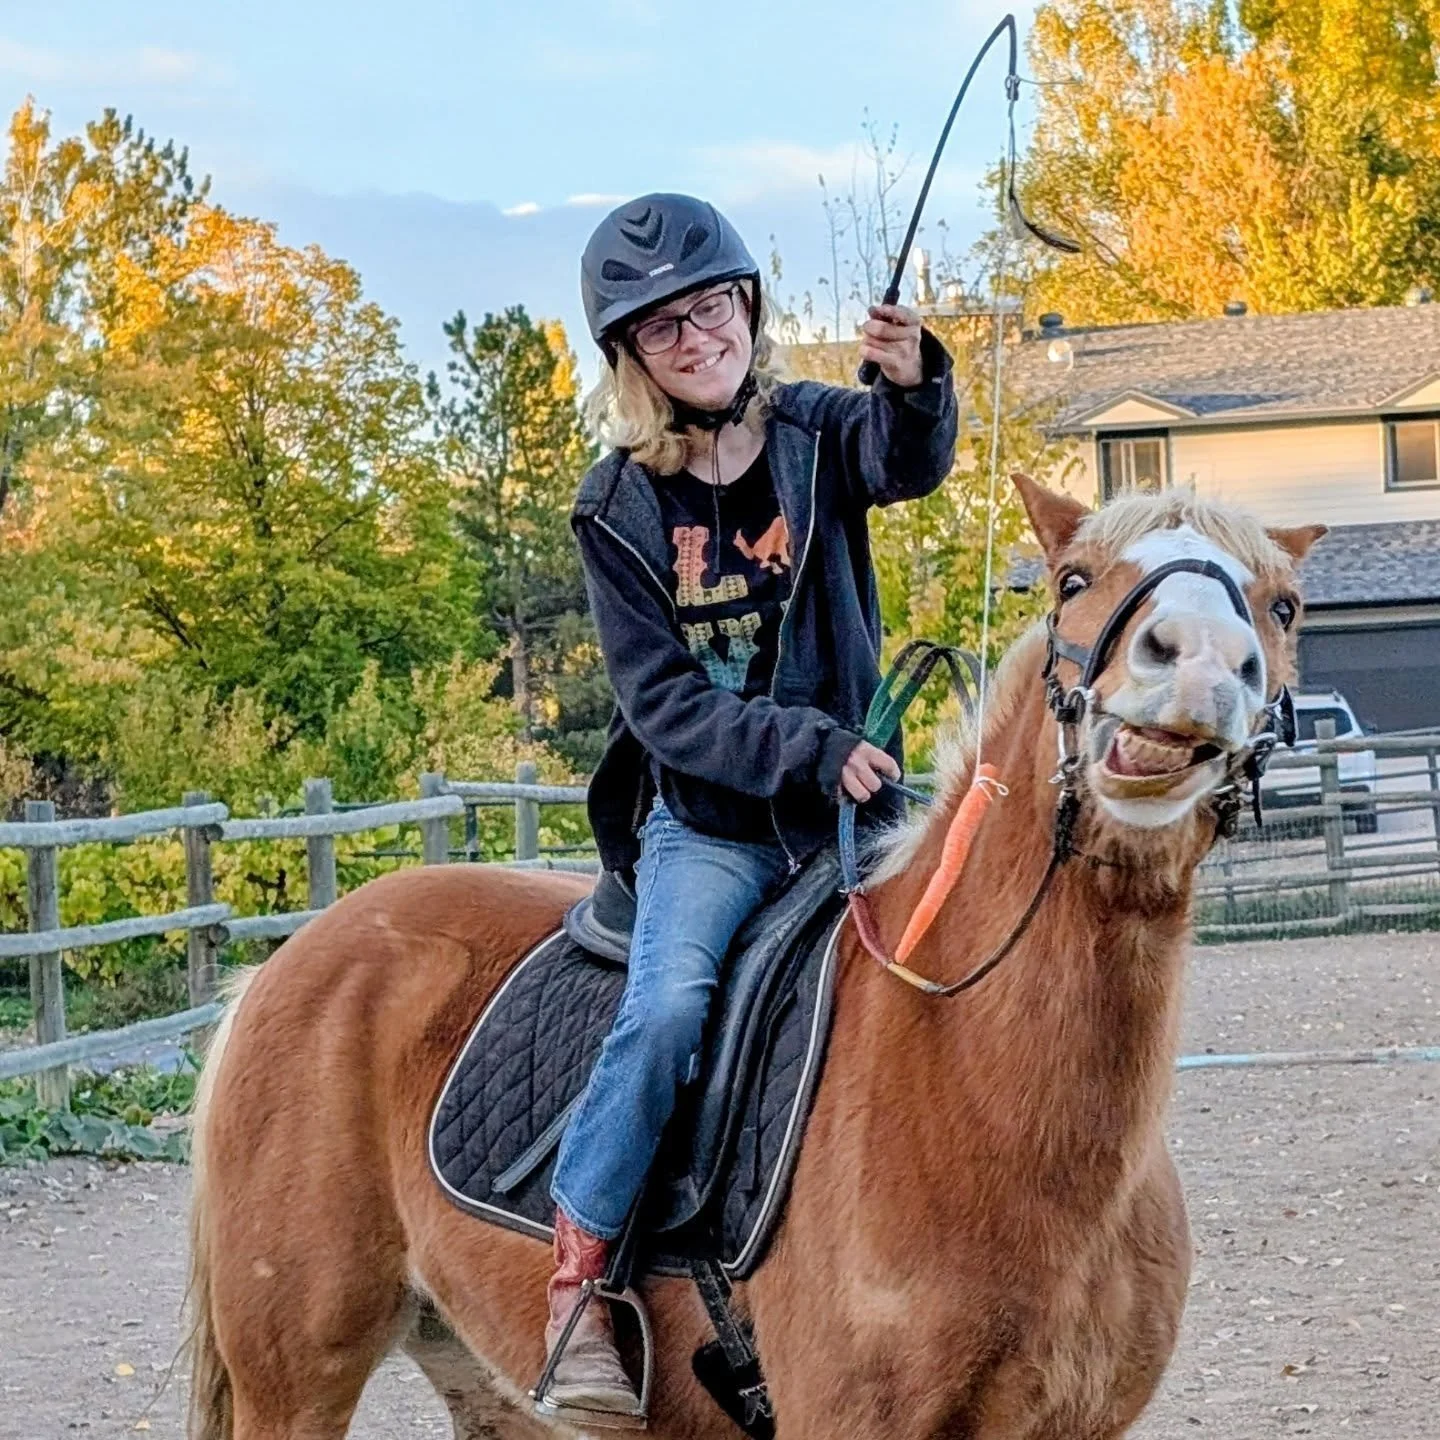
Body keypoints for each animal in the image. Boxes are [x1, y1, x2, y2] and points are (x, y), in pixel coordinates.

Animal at [184, 477, 1324, 1440]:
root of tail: (290, 963)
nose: (1197, 665)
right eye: (1074, 580)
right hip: (297, 1380)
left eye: (1285, 606)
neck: (968, 1083)